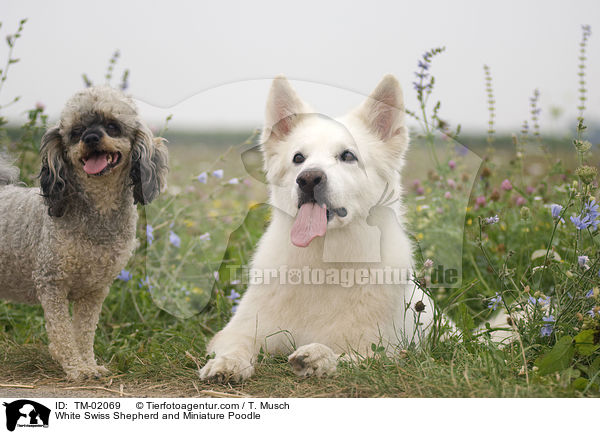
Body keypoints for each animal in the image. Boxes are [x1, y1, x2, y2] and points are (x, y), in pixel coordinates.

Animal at [199, 76, 438, 382]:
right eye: (298, 158)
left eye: (348, 155)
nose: (308, 179)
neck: (322, 259)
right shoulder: (239, 331)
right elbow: (235, 346)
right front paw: (226, 364)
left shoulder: (382, 350)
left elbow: (347, 357)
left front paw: (317, 357)